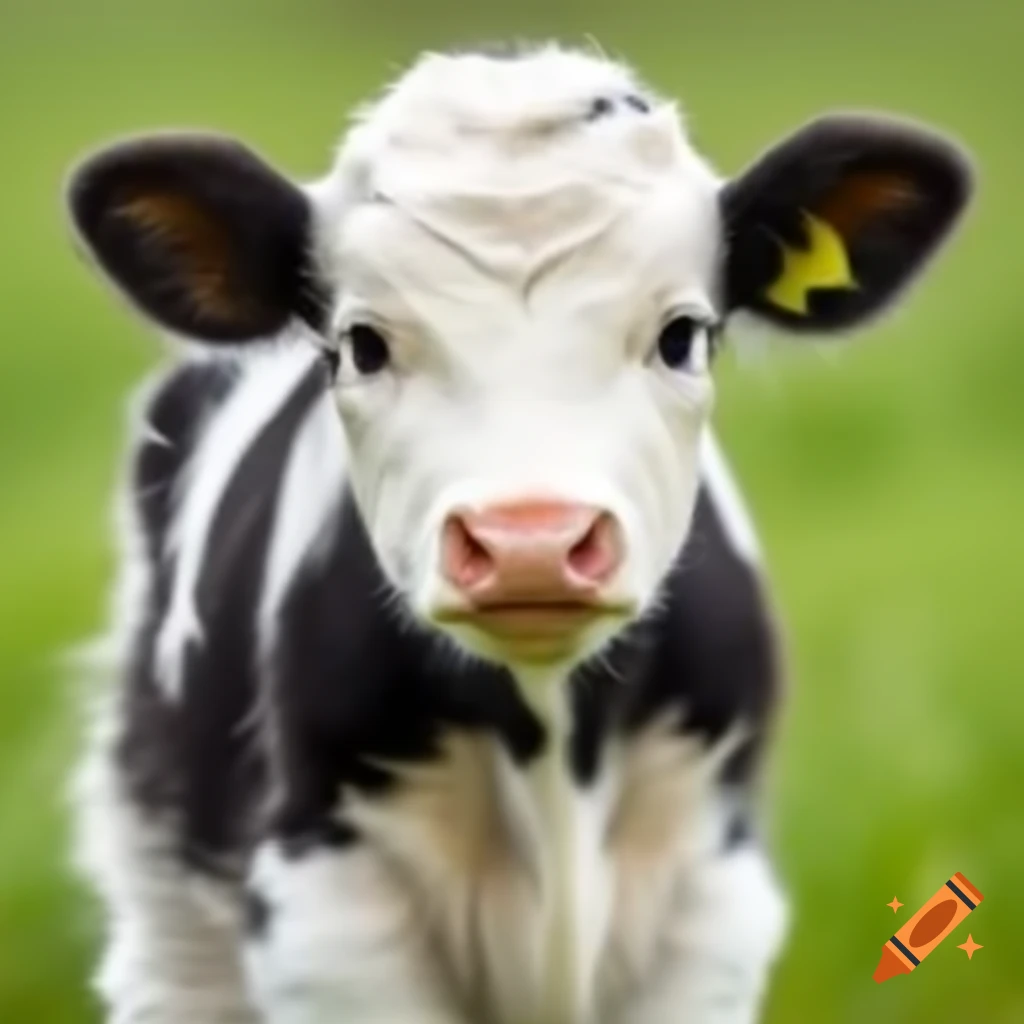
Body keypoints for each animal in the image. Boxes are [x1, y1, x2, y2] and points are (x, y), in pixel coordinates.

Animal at [66, 44, 972, 1024]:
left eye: (682, 335)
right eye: (363, 344)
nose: (529, 542)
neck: (551, 748)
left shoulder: (713, 899)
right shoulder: (327, 910)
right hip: (164, 902)